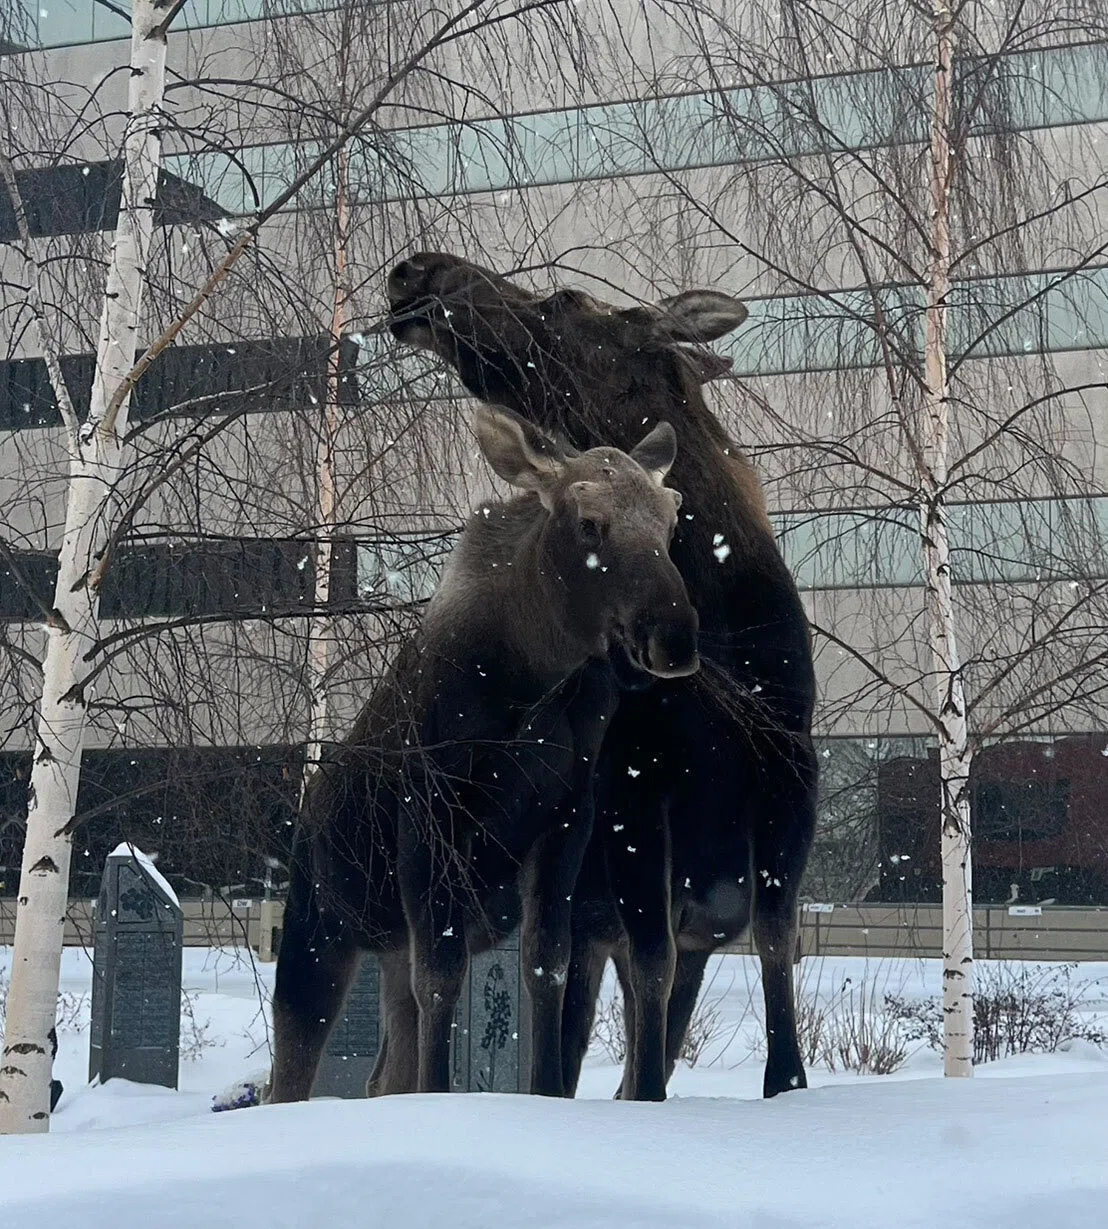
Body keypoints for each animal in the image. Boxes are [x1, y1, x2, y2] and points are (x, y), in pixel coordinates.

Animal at [268, 403, 698, 1101]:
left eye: (669, 518)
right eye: (589, 522)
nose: (674, 637)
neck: (532, 674)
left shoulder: (567, 818)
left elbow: (547, 963)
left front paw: (544, 1089)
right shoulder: (434, 812)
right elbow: (441, 977)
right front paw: (443, 1095)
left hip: (391, 946)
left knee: (384, 1071)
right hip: (320, 926)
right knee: (292, 1063)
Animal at [385, 253, 817, 1102]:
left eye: (563, 299)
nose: (418, 271)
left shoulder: (790, 771)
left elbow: (776, 941)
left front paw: (786, 1079)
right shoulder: (632, 791)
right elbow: (653, 969)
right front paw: (647, 1095)